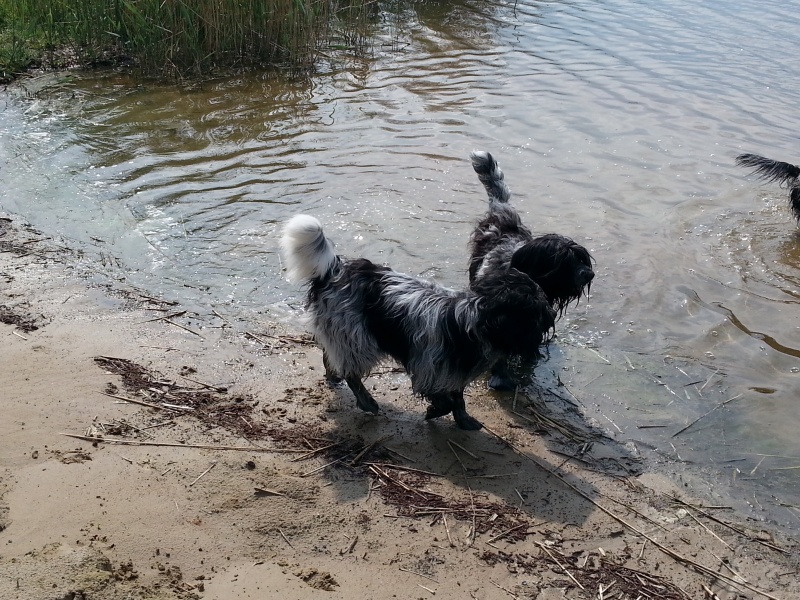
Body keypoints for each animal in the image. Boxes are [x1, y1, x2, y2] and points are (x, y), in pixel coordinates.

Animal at [281, 214, 556, 430]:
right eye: (537, 307)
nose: (552, 316)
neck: (472, 320)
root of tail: (335, 270)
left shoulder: (452, 370)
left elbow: (458, 398)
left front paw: (463, 420)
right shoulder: (428, 367)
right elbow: (447, 399)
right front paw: (436, 411)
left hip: (343, 334)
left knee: (330, 356)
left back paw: (334, 377)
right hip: (357, 337)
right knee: (352, 374)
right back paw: (367, 402)